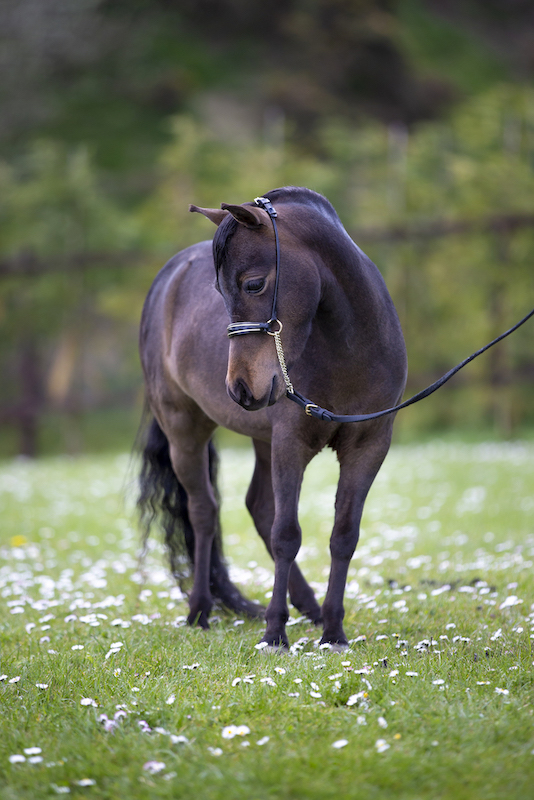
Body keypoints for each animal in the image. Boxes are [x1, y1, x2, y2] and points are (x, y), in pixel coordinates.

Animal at [138, 186, 407, 650]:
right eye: (219, 291)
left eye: (253, 284)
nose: (240, 388)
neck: (350, 349)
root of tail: (166, 279)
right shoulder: (290, 442)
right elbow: (287, 535)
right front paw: (274, 632)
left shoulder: (370, 445)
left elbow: (344, 535)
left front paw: (334, 631)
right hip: (186, 429)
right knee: (204, 511)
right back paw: (200, 610)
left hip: (262, 440)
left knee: (258, 507)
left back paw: (311, 608)